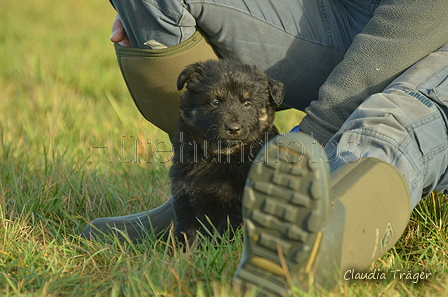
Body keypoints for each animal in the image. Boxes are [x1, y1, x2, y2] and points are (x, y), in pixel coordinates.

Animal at [170, 58, 286, 243]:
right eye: (215, 102)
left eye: (247, 103)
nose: (233, 128)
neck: (221, 155)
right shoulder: (184, 196)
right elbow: (188, 233)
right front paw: (186, 250)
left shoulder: (236, 206)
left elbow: (224, 234)